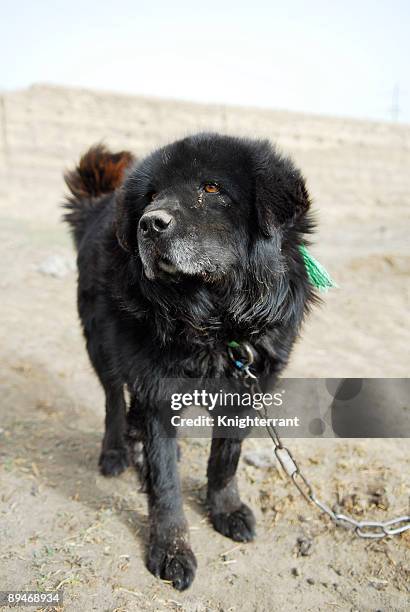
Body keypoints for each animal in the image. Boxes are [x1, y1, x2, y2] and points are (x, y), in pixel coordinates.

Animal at [63, 133, 314, 588]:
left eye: (211, 188)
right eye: (151, 196)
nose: (149, 224)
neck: (213, 320)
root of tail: (99, 205)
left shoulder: (246, 390)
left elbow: (225, 460)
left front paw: (226, 509)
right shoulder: (157, 392)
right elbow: (165, 485)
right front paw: (171, 548)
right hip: (101, 345)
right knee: (113, 400)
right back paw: (116, 452)